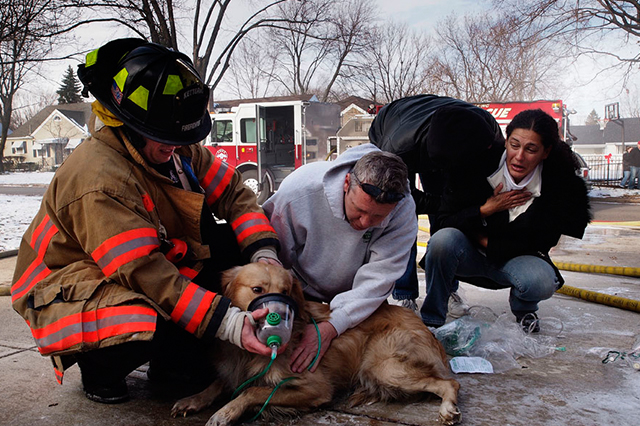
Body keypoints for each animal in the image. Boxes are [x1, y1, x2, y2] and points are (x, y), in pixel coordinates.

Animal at [170, 264, 460, 424]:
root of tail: (423, 325)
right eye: (257, 290)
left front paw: (227, 412)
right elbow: (219, 382)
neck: (246, 355)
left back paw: (448, 408)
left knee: (450, 383)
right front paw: (193, 399)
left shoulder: (315, 388)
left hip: (383, 367)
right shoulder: (234, 368)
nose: (277, 319)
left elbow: (253, 391)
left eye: (286, 292)